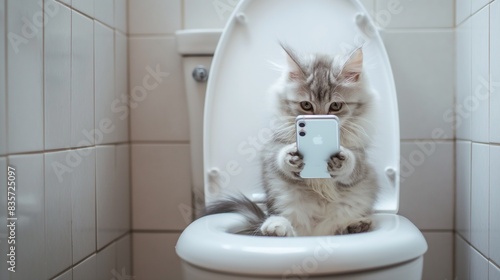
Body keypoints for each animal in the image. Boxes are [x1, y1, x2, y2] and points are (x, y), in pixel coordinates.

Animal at [203, 45, 378, 236]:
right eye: (306, 105)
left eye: (335, 106)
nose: (319, 122)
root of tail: (315, 233)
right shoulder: (273, 149)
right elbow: (281, 158)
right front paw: (291, 157)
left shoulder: (361, 157)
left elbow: (353, 167)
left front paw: (341, 160)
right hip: (282, 197)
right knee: (291, 230)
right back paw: (276, 227)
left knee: (335, 228)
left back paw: (355, 225)